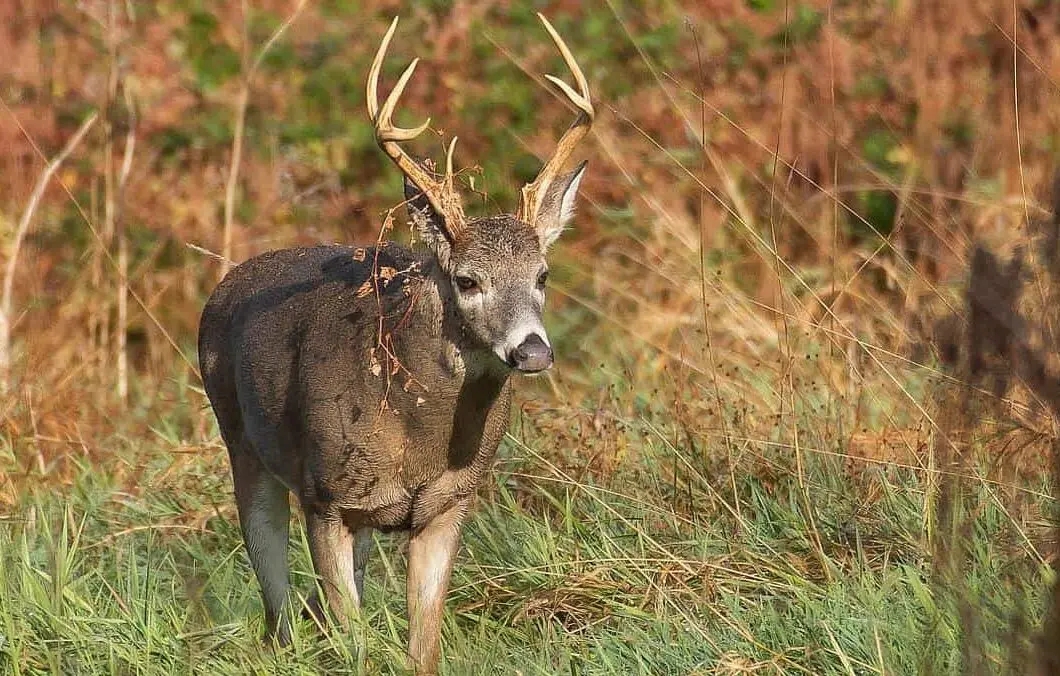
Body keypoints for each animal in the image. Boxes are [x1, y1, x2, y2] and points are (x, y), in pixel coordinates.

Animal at [197, 13, 597, 673]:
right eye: (467, 280)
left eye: (542, 275)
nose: (533, 351)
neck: (418, 437)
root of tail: (225, 286)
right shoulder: (326, 497)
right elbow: (353, 644)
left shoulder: (447, 504)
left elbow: (423, 647)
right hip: (242, 444)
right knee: (277, 605)